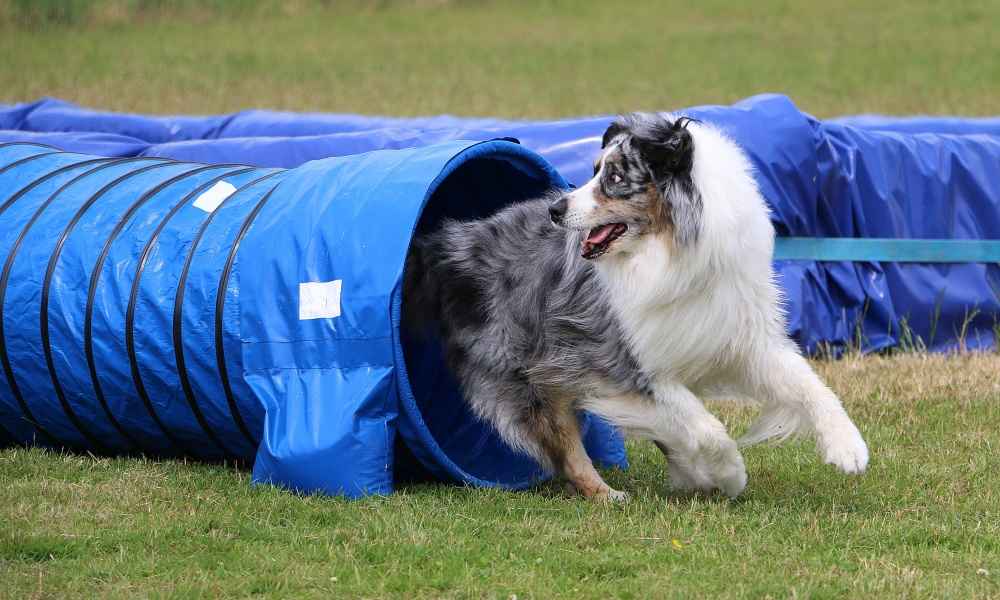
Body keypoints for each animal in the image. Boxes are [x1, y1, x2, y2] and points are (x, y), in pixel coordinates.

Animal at [402, 113, 872, 502]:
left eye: (613, 177)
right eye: (592, 171)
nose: (555, 208)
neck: (669, 255)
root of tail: (453, 241)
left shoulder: (741, 338)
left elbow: (811, 386)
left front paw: (848, 447)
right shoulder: (629, 364)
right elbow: (707, 427)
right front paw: (730, 473)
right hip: (526, 371)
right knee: (565, 448)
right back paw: (606, 493)